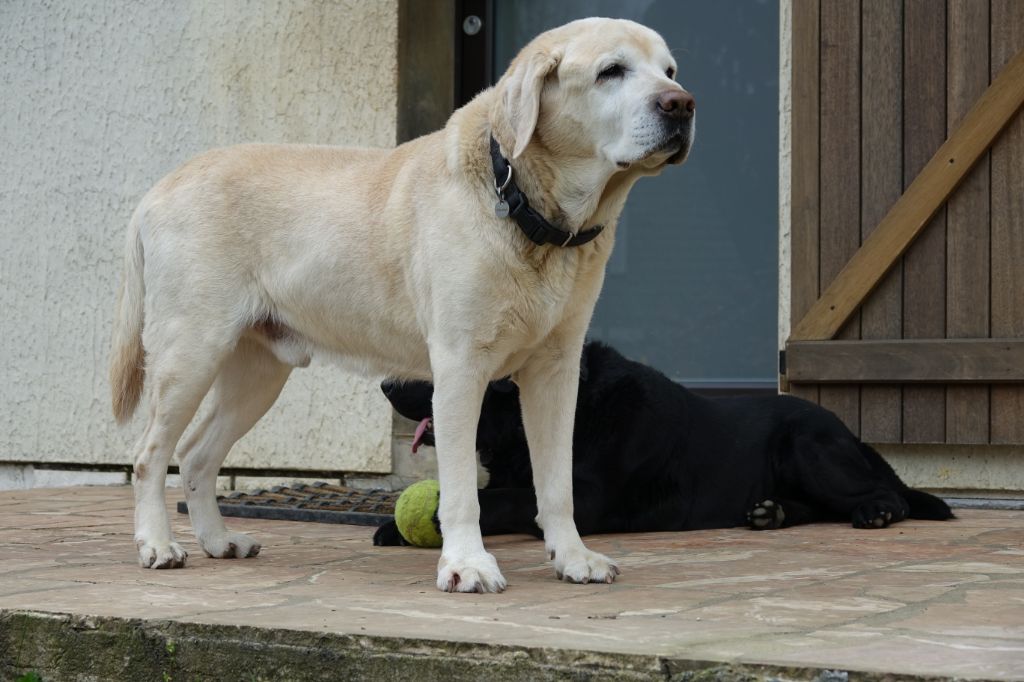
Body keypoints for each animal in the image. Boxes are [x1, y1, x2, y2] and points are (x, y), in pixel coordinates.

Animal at [108, 15, 692, 589]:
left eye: (669, 71)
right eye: (611, 71)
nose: (682, 104)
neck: (524, 203)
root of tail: (158, 189)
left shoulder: (556, 369)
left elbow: (556, 484)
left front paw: (572, 557)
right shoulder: (460, 366)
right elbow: (461, 489)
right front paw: (467, 565)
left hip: (259, 373)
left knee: (196, 455)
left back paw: (218, 540)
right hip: (191, 352)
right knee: (150, 455)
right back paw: (158, 545)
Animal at [374, 342, 950, 544]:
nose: (382, 385)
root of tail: (851, 432)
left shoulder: (586, 498)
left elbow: (501, 500)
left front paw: (406, 525)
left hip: (806, 447)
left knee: (885, 495)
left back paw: (875, 512)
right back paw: (772, 513)